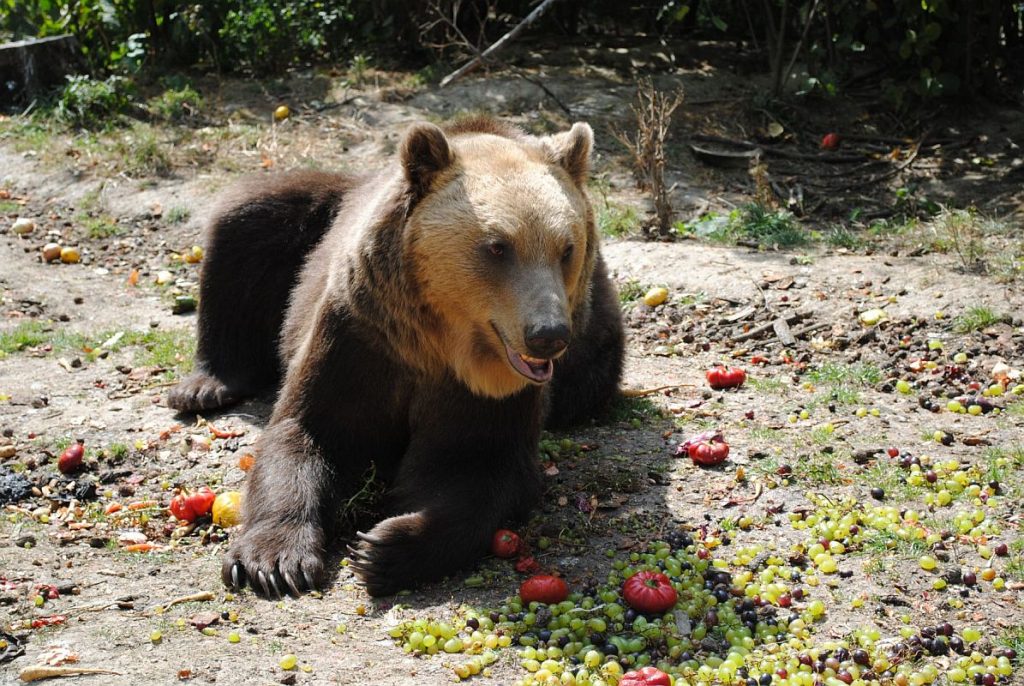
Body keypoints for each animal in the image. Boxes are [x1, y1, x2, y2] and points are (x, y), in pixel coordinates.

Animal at [165, 116, 622, 597]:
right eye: (498, 246)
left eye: (566, 248)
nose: (548, 334)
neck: (439, 346)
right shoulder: (360, 337)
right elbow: (305, 431)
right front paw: (273, 562)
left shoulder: (489, 391)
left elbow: (475, 468)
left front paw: (385, 547)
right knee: (246, 221)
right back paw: (205, 386)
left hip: (594, 337)